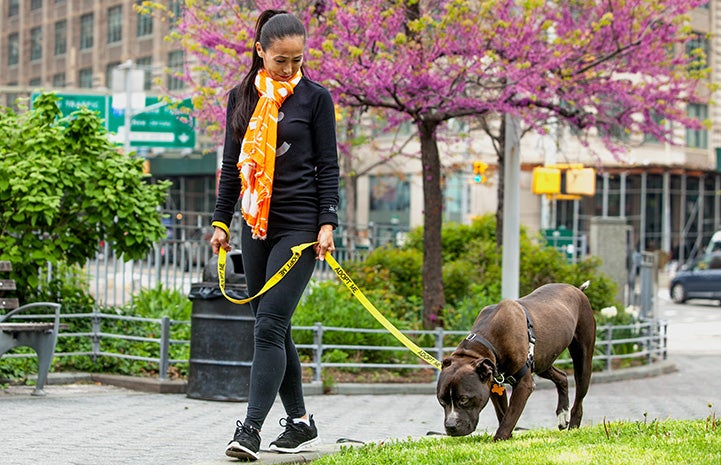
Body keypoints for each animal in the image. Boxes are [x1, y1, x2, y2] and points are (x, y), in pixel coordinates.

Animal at [436, 282, 592, 438]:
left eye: (464, 399)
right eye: (441, 400)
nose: (450, 426)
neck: (487, 343)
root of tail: (577, 289)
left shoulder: (524, 385)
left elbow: (510, 416)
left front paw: (499, 438)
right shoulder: (494, 385)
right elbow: (503, 413)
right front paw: (508, 438)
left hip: (582, 362)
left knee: (579, 398)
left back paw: (573, 426)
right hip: (542, 361)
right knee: (562, 377)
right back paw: (562, 413)